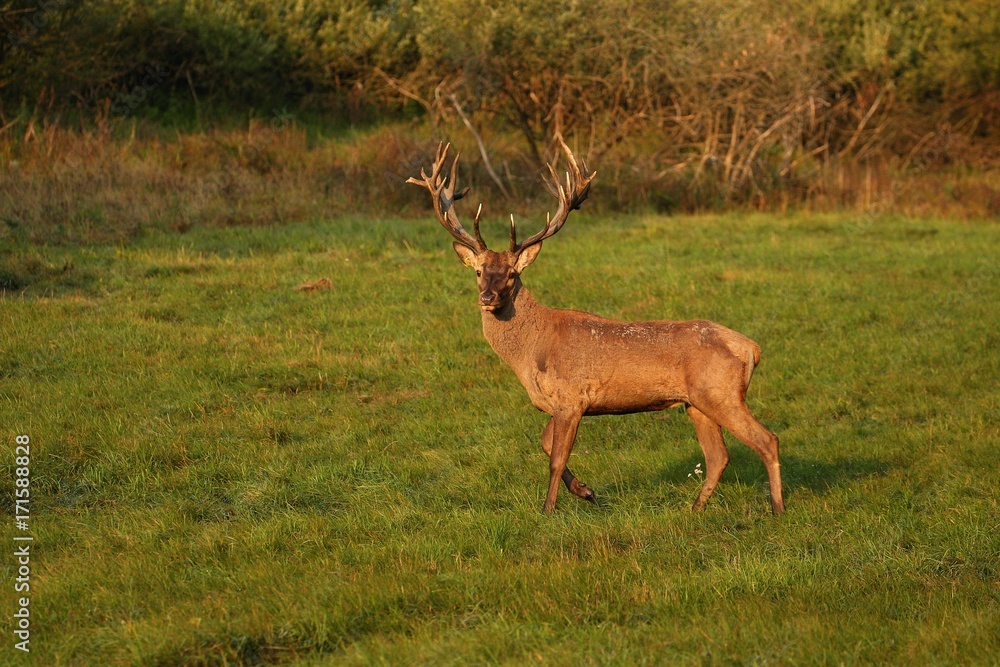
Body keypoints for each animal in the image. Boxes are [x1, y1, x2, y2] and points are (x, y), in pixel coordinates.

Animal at [407, 140, 784, 516]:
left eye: (512, 274)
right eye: (478, 271)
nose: (487, 297)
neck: (530, 354)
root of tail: (752, 348)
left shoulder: (572, 397)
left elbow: (555, 458)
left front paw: (548, 510)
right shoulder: (561, 403)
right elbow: (544, 443)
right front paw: (586, 492)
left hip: (721, 393)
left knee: (767, 439)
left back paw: (777, 507)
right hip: (697, 402)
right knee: (718, 455)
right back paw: (695, 508)